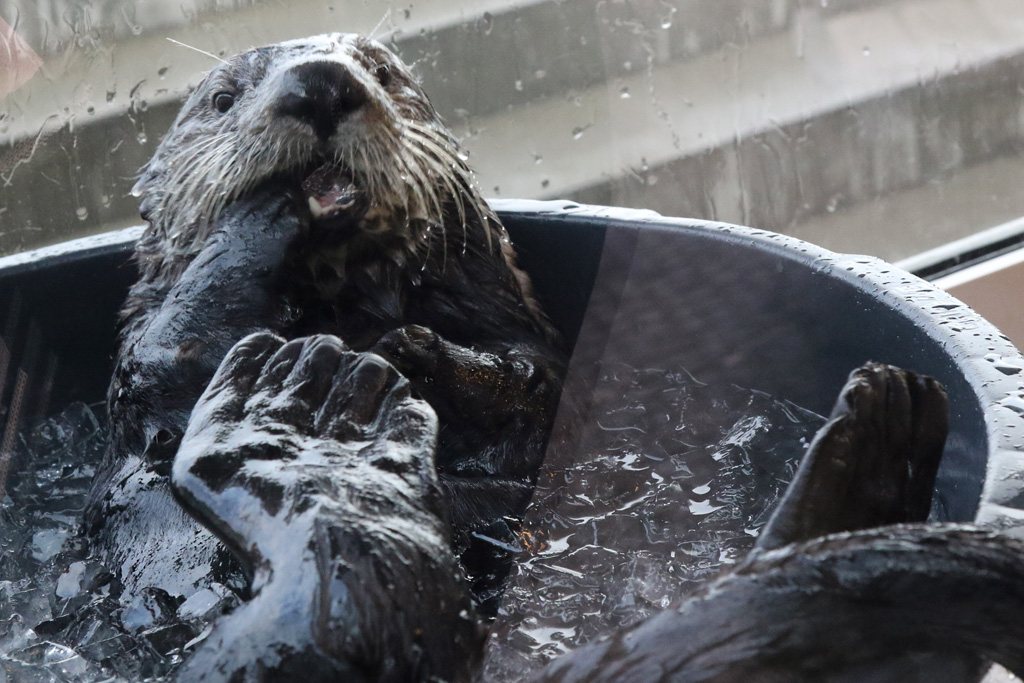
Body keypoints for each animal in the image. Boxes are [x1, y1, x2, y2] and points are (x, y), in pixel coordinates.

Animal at [84, 33, 564, 680]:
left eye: (384, 73)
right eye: (222, 98)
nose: (319, 81)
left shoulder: (514, 320)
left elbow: (535, 389)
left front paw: (414, 350)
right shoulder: (146, 365)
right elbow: (160, 367)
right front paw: (263, 214)